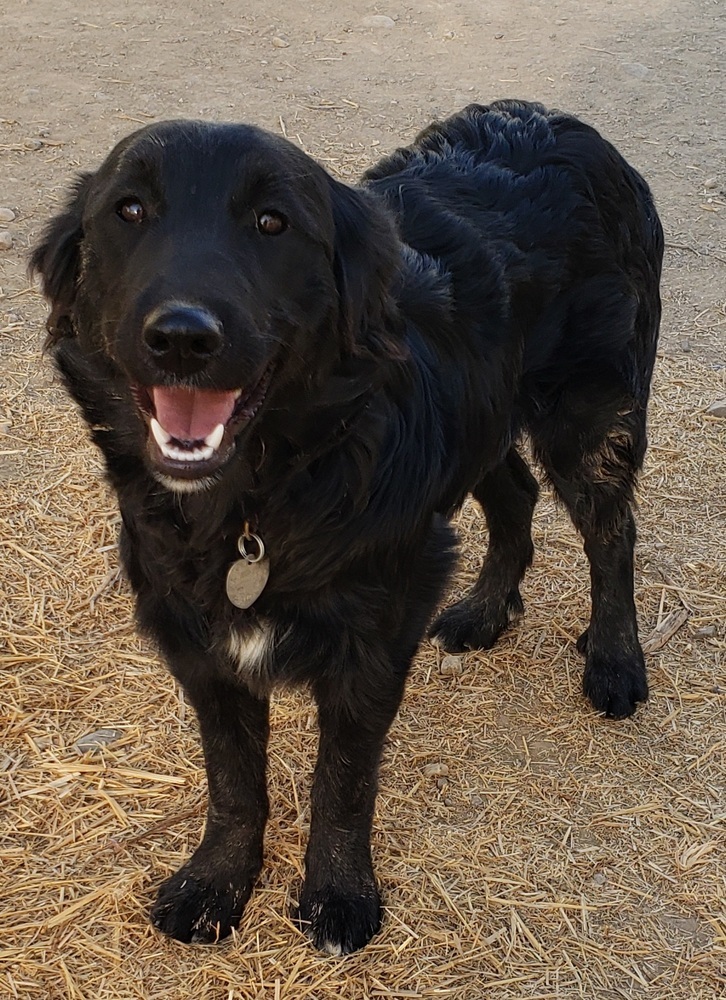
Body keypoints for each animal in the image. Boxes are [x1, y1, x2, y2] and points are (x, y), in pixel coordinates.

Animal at [29, 99, 664, 952]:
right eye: (127, 211)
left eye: (273, 222)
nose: (182, 338)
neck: (261, 504)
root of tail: (566, 124)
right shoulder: (197, 640)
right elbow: (233, 780)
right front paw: (217, 881)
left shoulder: (377, 631)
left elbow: (344, 778)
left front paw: (337, 894)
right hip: (487, 414)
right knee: (517, 495)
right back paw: (485, 612)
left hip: (589, 418)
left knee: (611, 534)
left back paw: (615, 660)